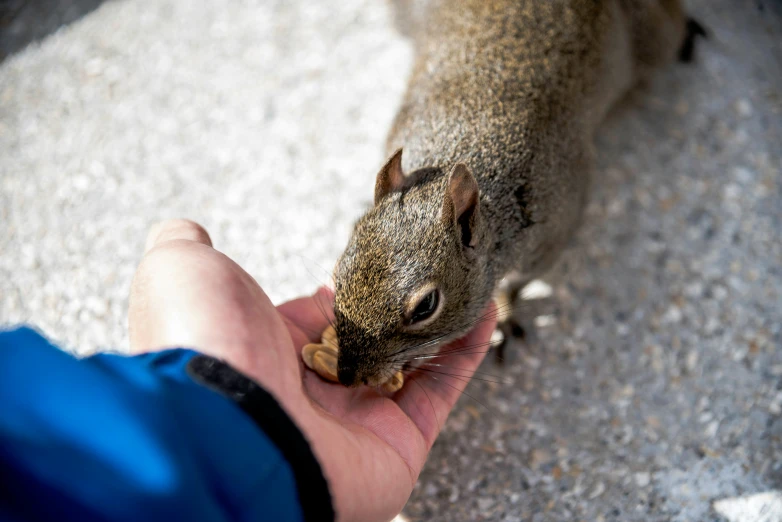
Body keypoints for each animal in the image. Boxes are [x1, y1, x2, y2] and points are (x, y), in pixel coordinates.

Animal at [330, 0, 704, 386]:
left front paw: (506, 315)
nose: (347, 375)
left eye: (425, 307)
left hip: (651, 38)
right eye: (338, 273)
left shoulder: (551, 236)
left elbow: (517, 285)